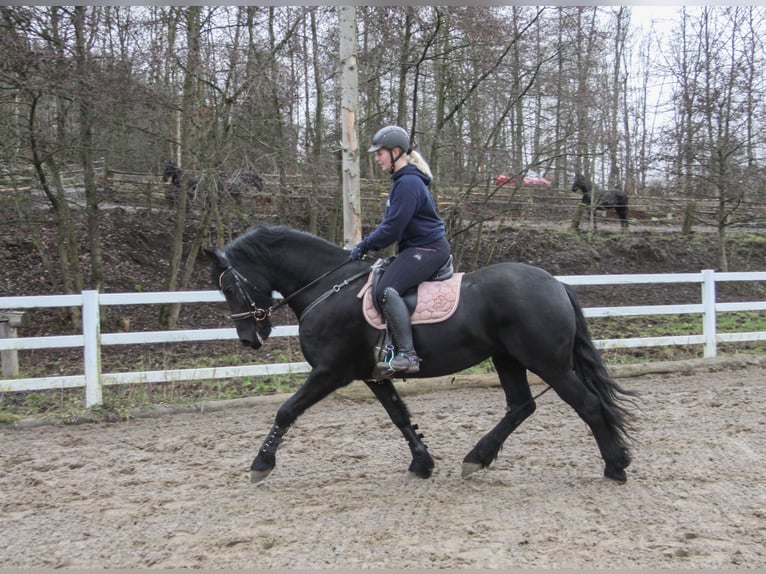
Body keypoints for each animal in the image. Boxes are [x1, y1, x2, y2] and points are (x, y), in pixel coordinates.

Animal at [207, 225, 640, 486]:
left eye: (228, 288)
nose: (249, 339)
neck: (328, 288)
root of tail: (556, 284)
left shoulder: (331, 371)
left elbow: (286, 411)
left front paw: (261, 464)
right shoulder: (372, 374)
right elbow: (400, 416)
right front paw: (422, 463)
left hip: (548, 363)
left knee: (587, 404)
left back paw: (615, 465)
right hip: (508, 358)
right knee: (521, 407)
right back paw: (477, 457)